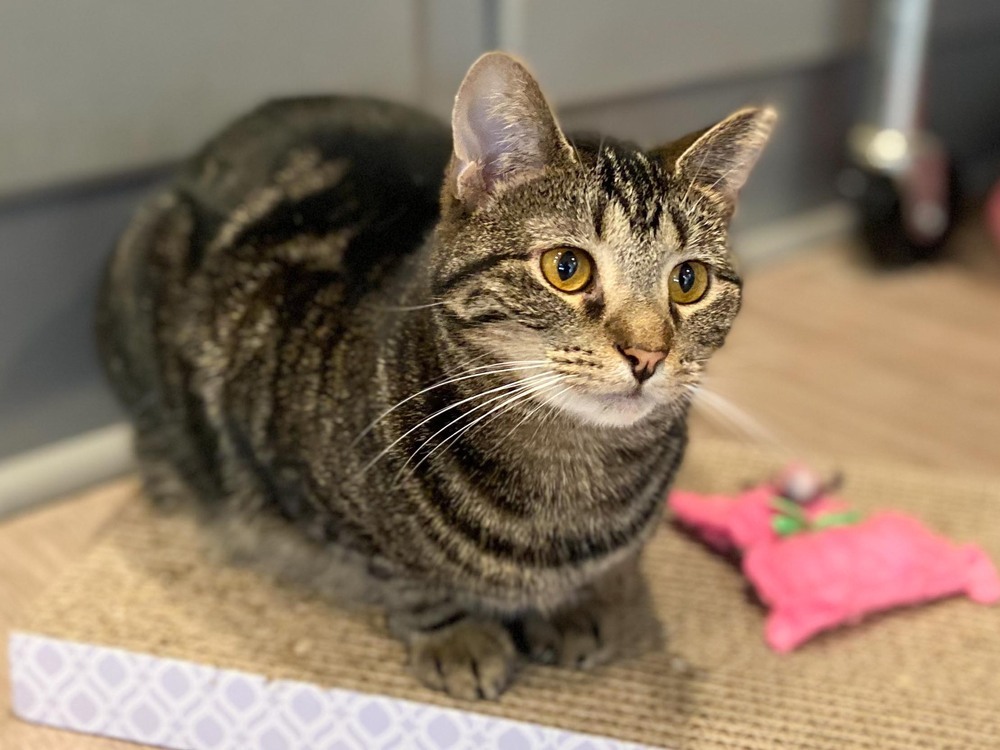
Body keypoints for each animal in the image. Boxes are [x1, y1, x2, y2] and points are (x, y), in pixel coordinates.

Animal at [97, 51, 772, 700]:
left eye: (688, 281)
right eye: (567, 267)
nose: (647, 354)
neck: (570, 484)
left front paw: (575, 607)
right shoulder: (276, 462)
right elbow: (406, 575)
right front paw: (457, 636)